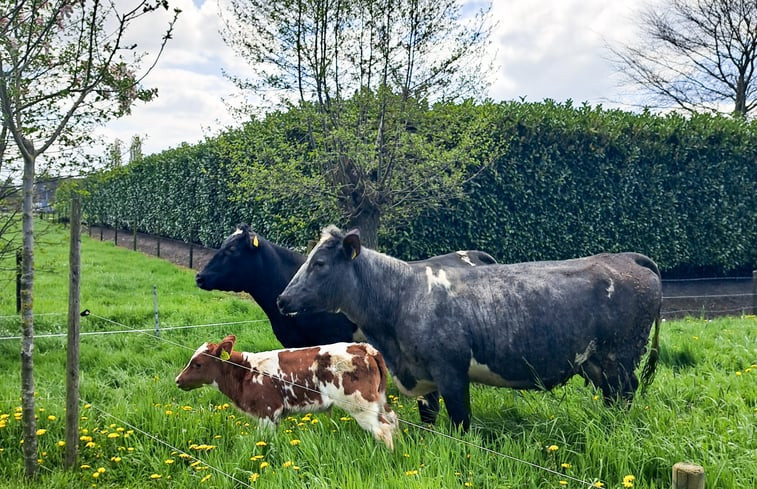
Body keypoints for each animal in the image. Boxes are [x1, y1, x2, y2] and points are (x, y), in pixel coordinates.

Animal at [175, 334, 398, 448]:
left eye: (197, 364)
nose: (178, 380)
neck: (245, 372)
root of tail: (364, 347)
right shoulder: (274, 417)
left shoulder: (267, 412)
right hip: (379, 400)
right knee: (393, 421)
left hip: (361, 406)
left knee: (383, 430)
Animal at [278, 225, 660, 428]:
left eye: (320, 263)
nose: (282, 299)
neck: (402, 296)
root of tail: (626, 257)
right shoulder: (424, 377)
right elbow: (430, 419)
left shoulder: (451, 372)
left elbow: (460, 422)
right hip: (595, 362)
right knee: (612, 396)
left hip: (620, 357)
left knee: (625, 392)